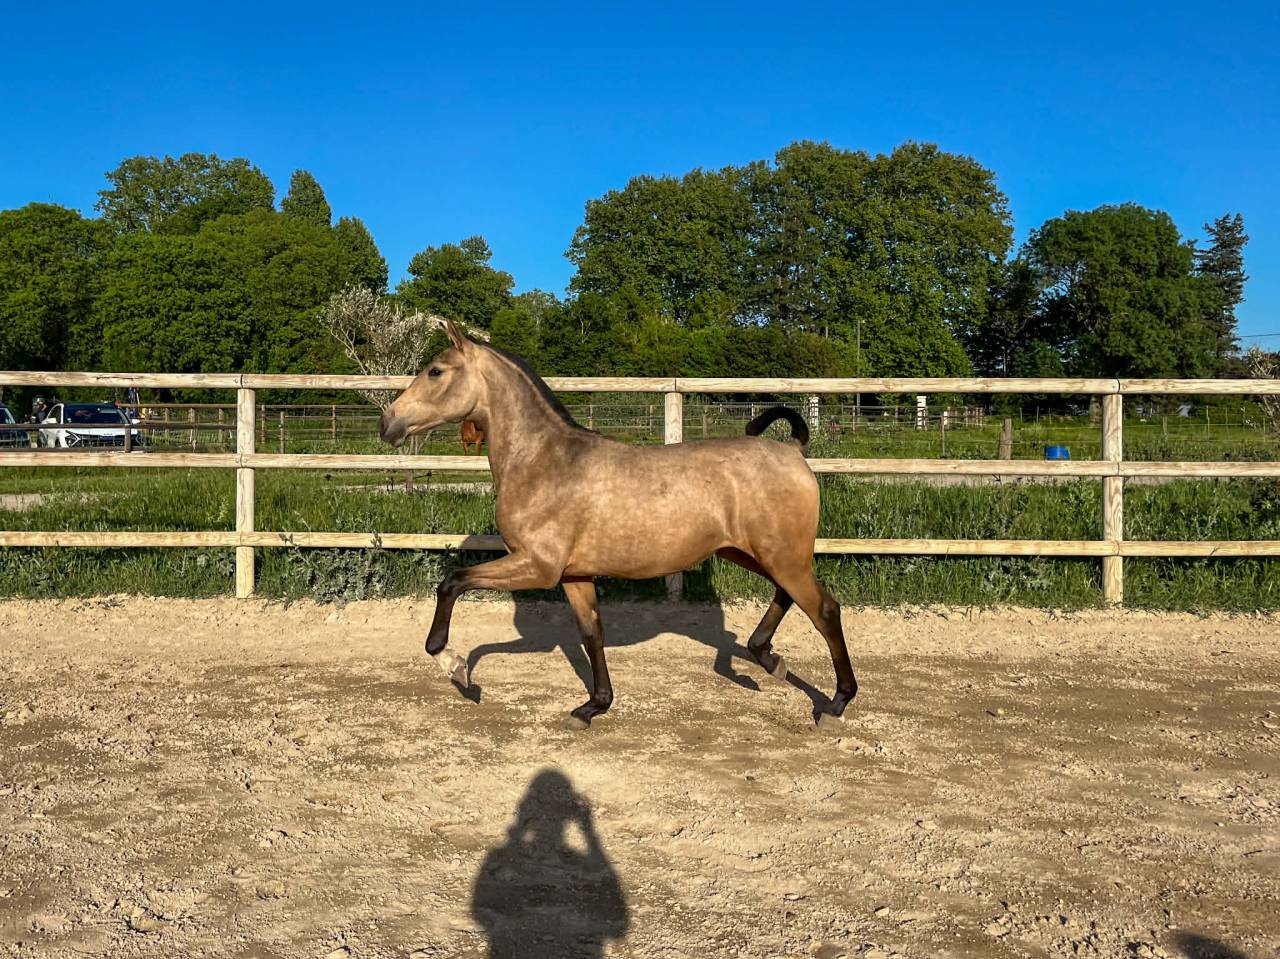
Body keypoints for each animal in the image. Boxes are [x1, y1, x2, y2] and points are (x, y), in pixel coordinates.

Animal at [379, 321, 856, 729]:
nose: (388, 422)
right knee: (789, 597)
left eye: (436, 371)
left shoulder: (537, 566)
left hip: (781, 556)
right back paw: (769, 660)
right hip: (752, 554)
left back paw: (835, 704)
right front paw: (594, 706)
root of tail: (792, 450)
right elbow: (592, 633)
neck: (543, 461)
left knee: (825, 610)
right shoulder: (573, 576)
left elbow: (452, 583)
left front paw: (455, 667)